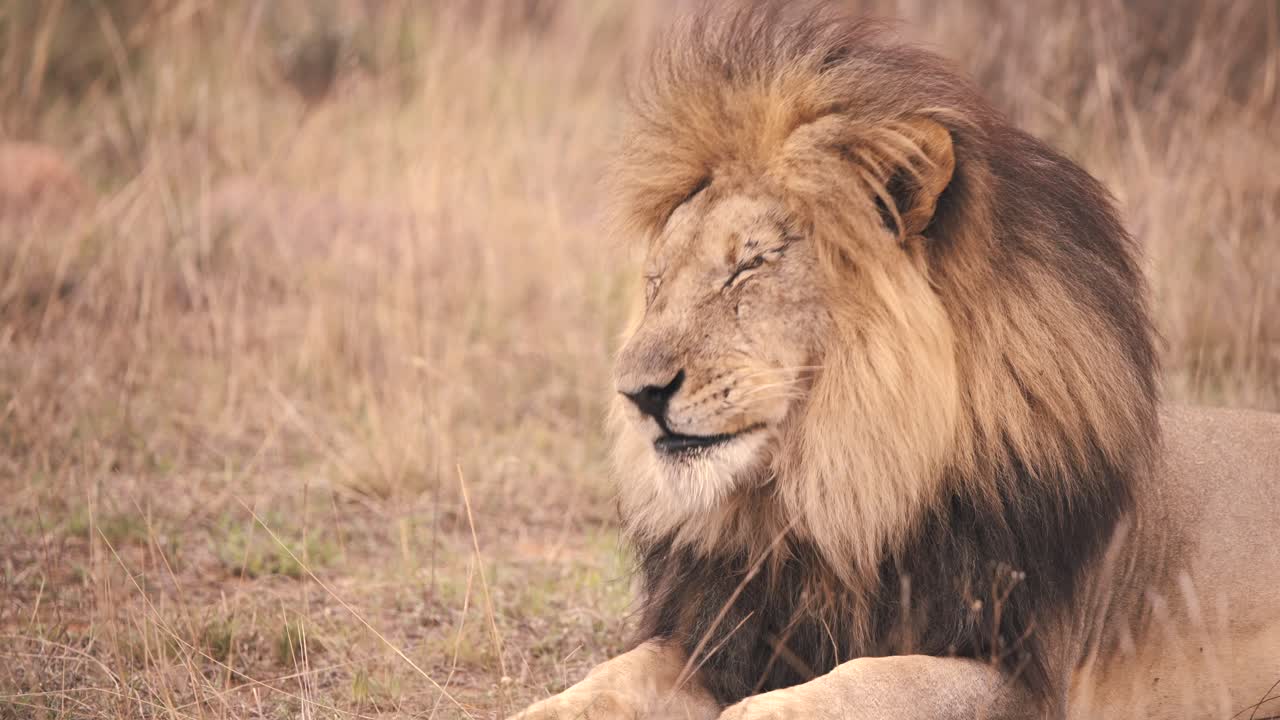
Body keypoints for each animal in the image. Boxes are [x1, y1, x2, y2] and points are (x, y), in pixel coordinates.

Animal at [510, 5, 1280, 720]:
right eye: (656, 281)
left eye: (750, 266)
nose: (637, 394)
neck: (837, 498)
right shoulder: (726, 632)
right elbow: (612, 675)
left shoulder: (1022, 676)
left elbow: (869, 680)